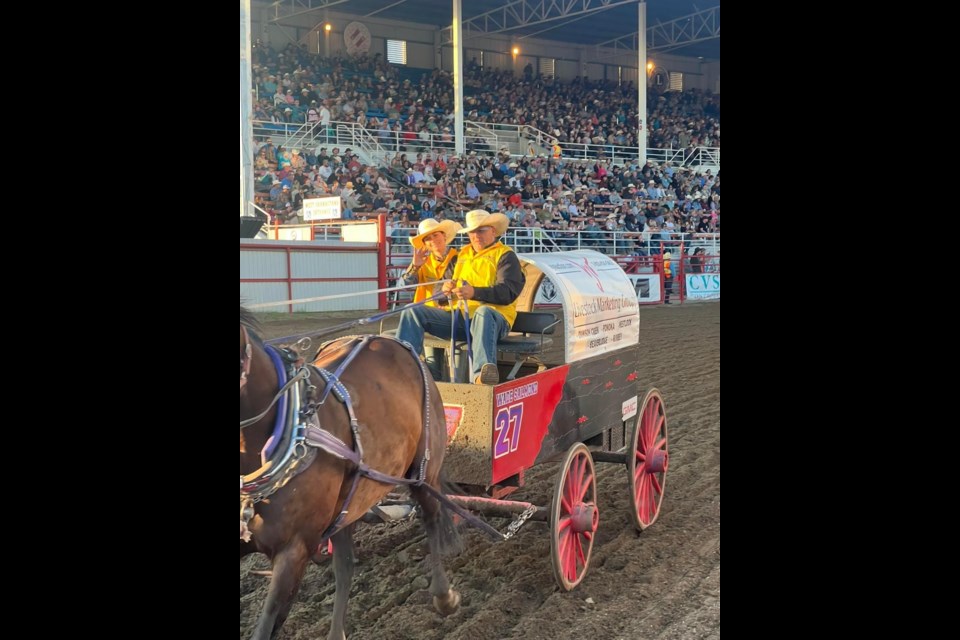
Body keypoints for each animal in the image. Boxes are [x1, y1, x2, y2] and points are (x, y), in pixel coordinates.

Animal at [242, 306, 464, 640]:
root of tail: (388, 339)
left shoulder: (294, 550)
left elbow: (268, 623)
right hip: (347, 505)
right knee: (346, 567)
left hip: (423, 472)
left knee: (432, 517)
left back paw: (444, 595)